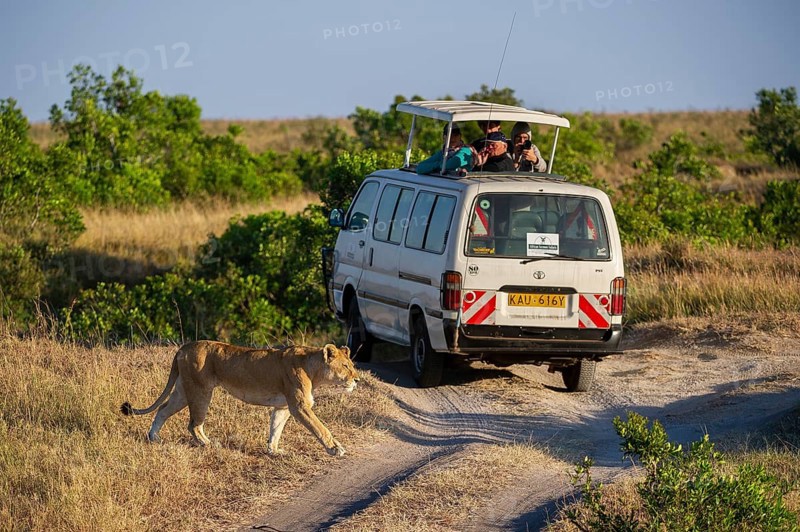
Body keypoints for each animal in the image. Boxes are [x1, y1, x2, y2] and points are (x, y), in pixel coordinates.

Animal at [121, 341, 358, 456]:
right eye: (346, 366)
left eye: (352, 365)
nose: (357, 380)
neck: (314, 369)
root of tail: (184, 347)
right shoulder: (300, 406)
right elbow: (321, 429)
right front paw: (335, 449)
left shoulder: (283, 406)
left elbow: (275, 429)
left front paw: (274, 451)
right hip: (201, 390)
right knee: (193, 424)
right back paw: (209, 444)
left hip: (183, 391)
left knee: (162, 409)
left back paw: (154, 438)